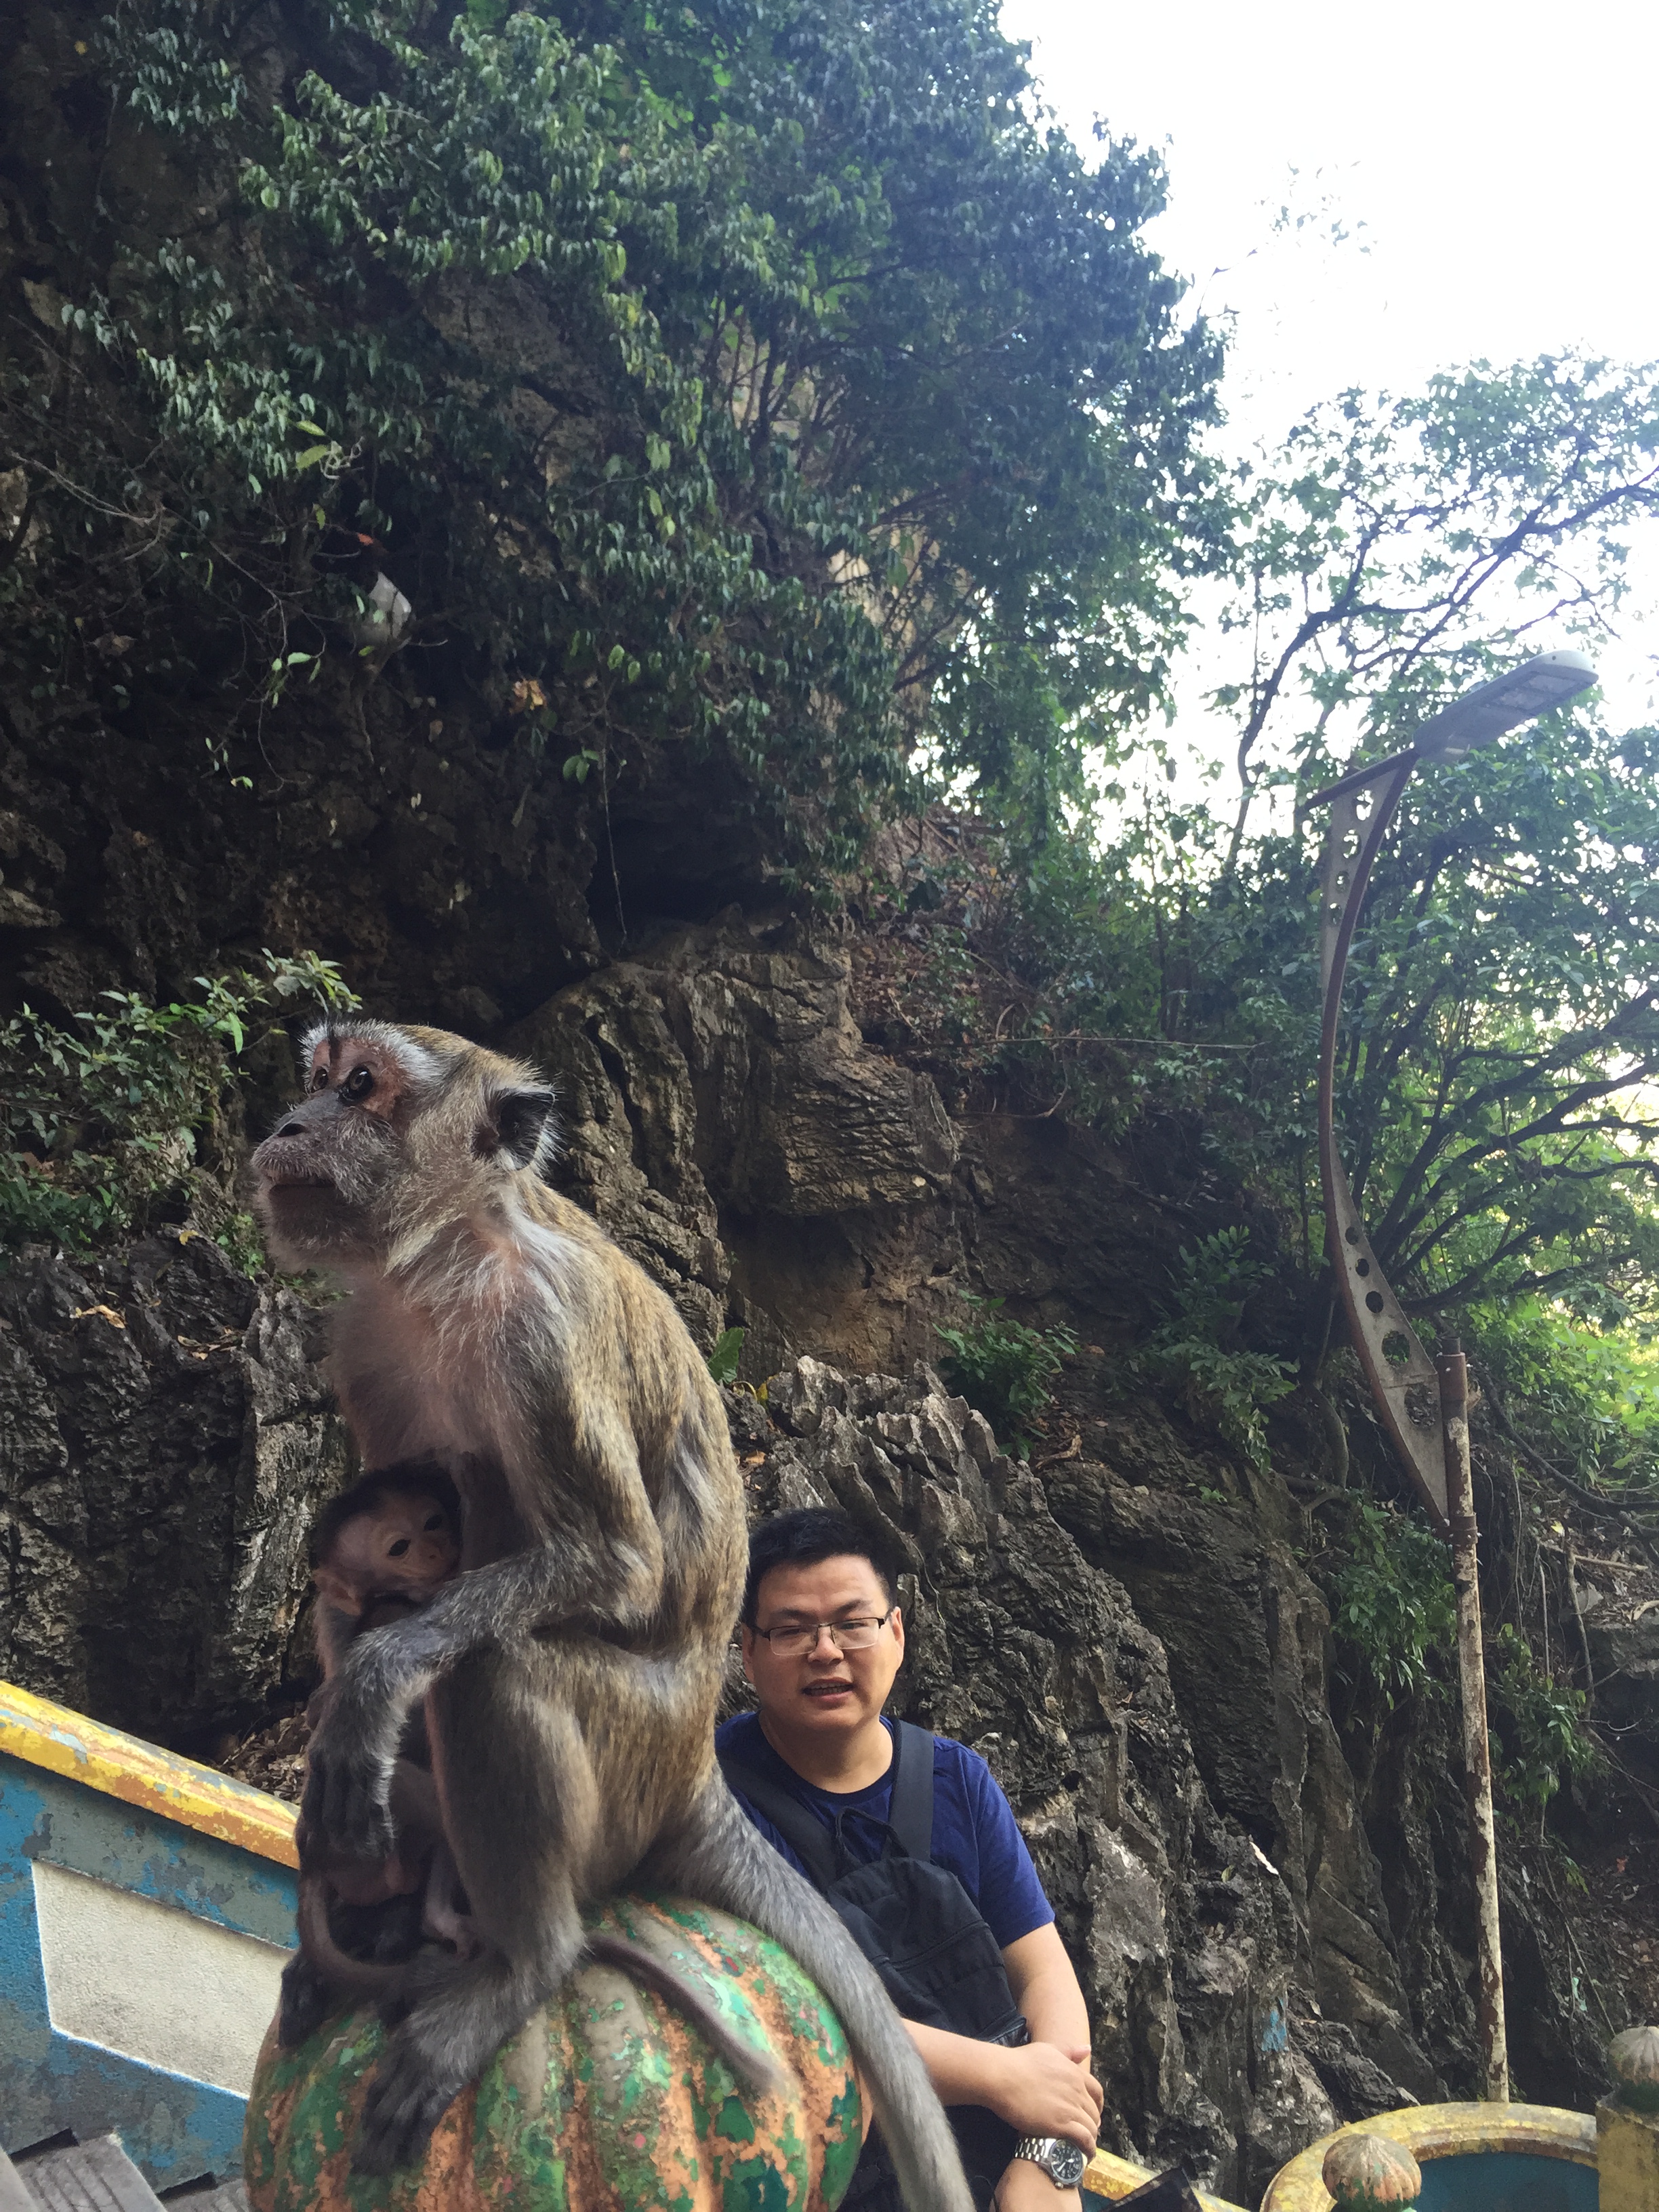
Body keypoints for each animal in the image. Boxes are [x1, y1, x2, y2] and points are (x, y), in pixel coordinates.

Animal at [249, 1019, 972, 2208]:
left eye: (362, 1088)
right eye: (317, 1078)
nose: (288, 1121)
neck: (445, 1261)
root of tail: (696, 1770)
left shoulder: (541, 1332)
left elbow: (619, 1561)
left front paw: (378, 1677)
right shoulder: (365, 1341)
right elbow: (359, 1552)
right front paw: (343, 1707)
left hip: (629, 1765)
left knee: (495, 1669)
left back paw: (523, 1960)